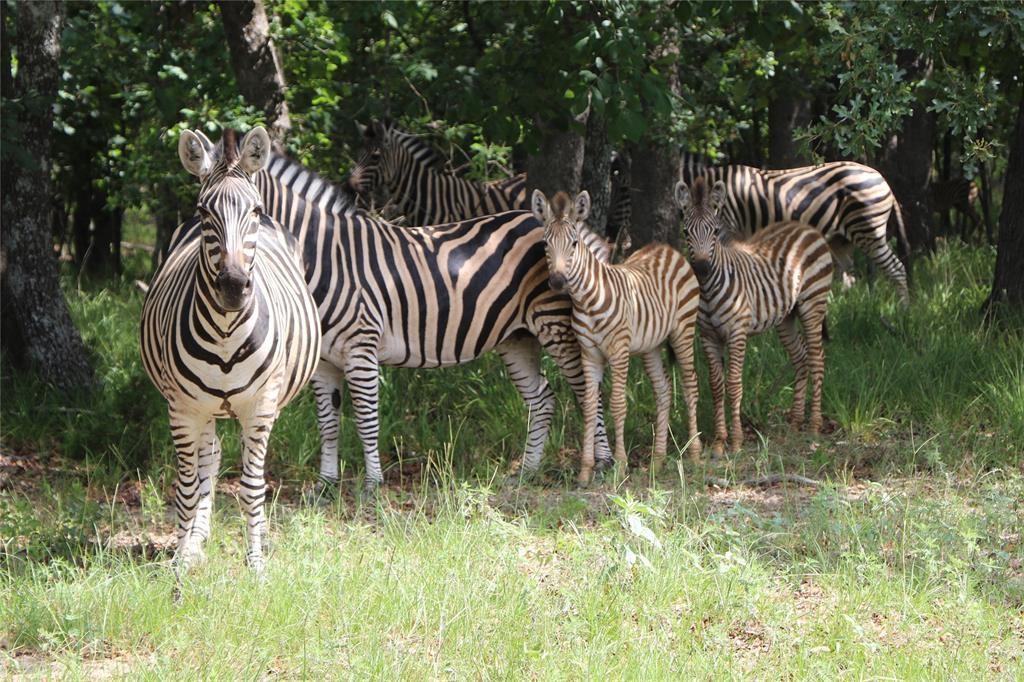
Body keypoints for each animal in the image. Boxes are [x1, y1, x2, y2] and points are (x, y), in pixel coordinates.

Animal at [140, 127, 321, 574]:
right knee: (210, 458)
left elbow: (252, 488)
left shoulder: (261, 406)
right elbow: (188, 488)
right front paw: (180, 562)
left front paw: (256, 564)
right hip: (202, 409)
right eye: (204, 213)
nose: (234, 287)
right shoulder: (182, 409)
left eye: (254, 210)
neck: (225, 334)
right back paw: (195, 541)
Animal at [249, 152, 616, 492]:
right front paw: (326, 484)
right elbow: (327, 422)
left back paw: (602, 464)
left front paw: (372, 484)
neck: (325, 255)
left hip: (555, 324)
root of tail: (567, 229)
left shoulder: (361, 347)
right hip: (517, 337)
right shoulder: (325, 361)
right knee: (542, 400)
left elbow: (366, 419)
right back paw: (527, 471)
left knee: (588, 392)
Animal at [532, 189, 701, 486]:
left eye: (574, 243)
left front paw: (620, 466)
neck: (588, 299)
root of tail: (667, 249)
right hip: (650, 346)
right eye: (545, 243)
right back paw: (658, 460)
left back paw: (694, 453)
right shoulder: (589, 353)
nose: (557, 282)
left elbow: (618, 404)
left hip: (683, 330)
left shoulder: (619, 351)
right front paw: (585, 471)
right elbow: (589, 407)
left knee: (690, 383)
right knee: (663, 390)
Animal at [675, 177, 833, 457]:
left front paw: (736, 441)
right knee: (801, 358)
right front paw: (719, 441)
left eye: (715, 232)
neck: (708, 290)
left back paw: (814, 426)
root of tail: (806, 227)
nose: (702, 269)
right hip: (786, 317)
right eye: (686, 232)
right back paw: (795, 422)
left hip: (813, 304)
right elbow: (716, 385)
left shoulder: (737, 333)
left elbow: (734, 384)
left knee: (817, 359)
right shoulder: (708, 336)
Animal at [678, 152, 909, 304]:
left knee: (896, 269)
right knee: (848, 276)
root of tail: (881, 178)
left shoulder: (729, 229)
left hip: (868, 230)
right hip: (841, 239)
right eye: (685, 231)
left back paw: (902, 313)